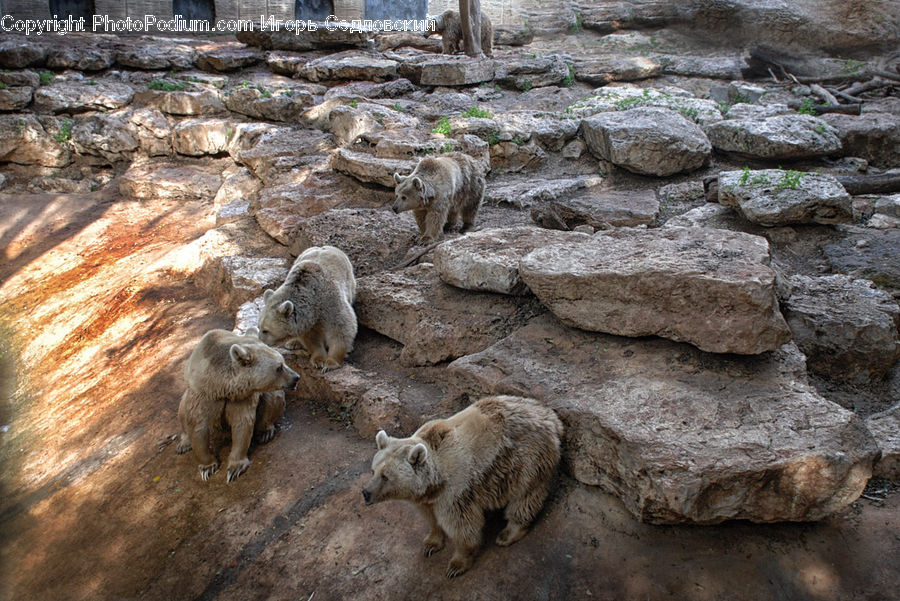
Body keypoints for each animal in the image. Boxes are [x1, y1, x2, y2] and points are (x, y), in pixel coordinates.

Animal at [175, 326, 298, 480]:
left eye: (283, 361)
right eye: (279, 367)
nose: (296, 377)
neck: (222, 386)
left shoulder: (243, 396)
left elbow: (242, 423)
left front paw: (234, 468)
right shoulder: (204, 395)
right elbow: (198, 425)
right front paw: (207, 467)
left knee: (273, 399)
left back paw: (265, 431)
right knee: (182, 410)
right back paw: (183, 444)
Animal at [360, 394, 560, 576]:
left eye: (386, 476)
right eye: (373, 470)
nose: (366, 493)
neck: (435, 482)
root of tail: (550, 416)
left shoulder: (456, 492)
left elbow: (462, 527)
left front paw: (456, 565)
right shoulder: (426, 497)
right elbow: (430, 517)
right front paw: (430, 544)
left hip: (527, 459)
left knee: (525, 496)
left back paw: (508, 533)